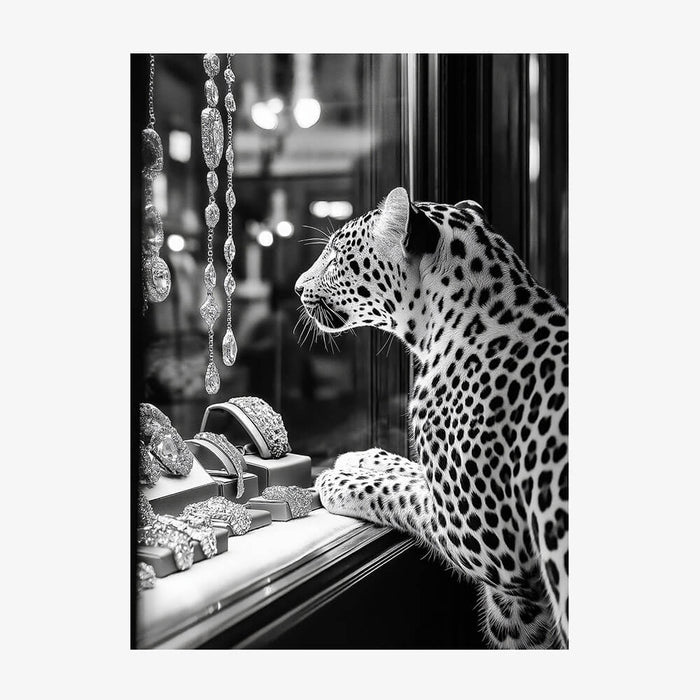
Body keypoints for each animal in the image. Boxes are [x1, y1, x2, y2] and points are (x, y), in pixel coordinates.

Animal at [295, 187, 568, 649]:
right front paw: (361, 458)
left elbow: (396, 492)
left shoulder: (487, 541)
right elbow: (410, 470)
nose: (297, 287)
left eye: (334, 258)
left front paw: (337, 480)